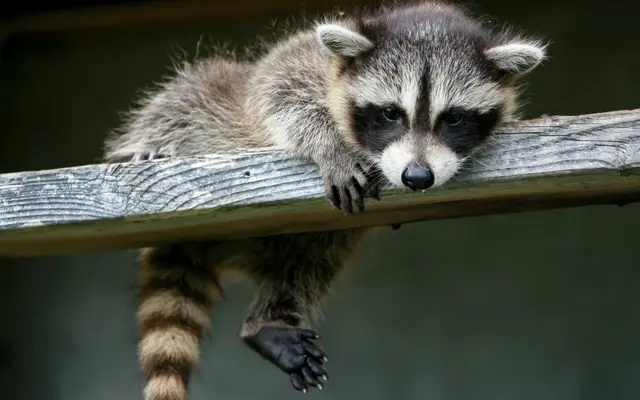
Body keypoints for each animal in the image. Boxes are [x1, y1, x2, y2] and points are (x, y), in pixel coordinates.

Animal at [103, 1, 546, 399]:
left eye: (453, 118)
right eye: (390, 113)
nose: (417, 176)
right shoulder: (302, 60)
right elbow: (277, 92)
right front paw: (329, 144)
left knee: (310, 259)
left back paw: (269, 323)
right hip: (207, 108)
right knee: (188, 94)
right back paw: (145, 146)